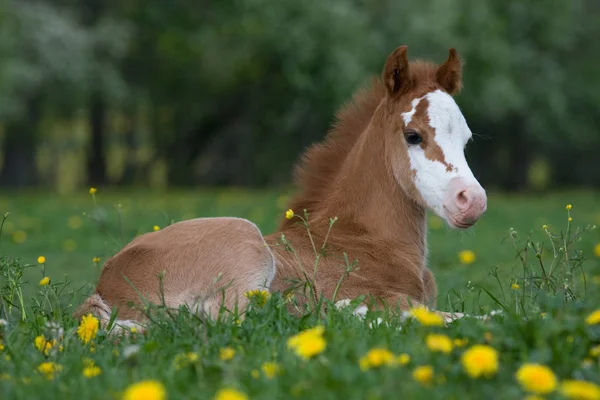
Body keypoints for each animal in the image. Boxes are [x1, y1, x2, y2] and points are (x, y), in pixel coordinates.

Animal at [75, 45, 488, 330]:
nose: (472, 201)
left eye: (467, 139)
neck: (364, 239)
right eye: (413, 135)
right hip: (243, 240)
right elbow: (478, 318)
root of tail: (106, 285)